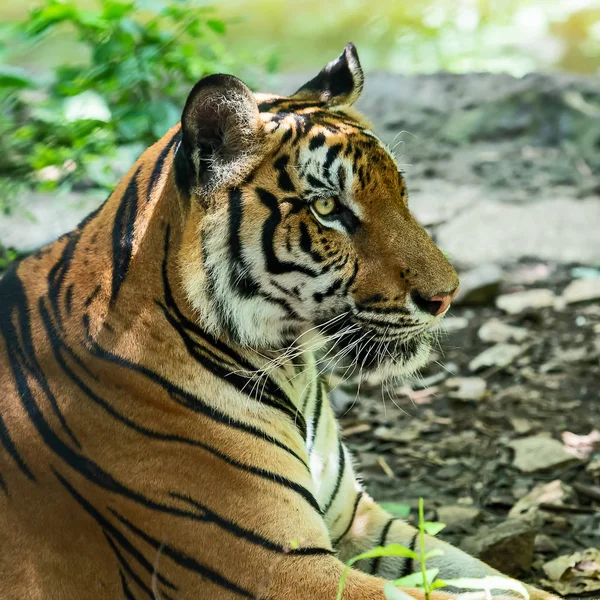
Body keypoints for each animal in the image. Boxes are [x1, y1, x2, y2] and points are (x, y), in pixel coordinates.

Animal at [0, 43, 556, 600]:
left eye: (401, 192)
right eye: (328, 207)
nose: (446, 296)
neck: (292, 368)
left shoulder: (355, 518)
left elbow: (495, 581)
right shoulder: (281, 569)